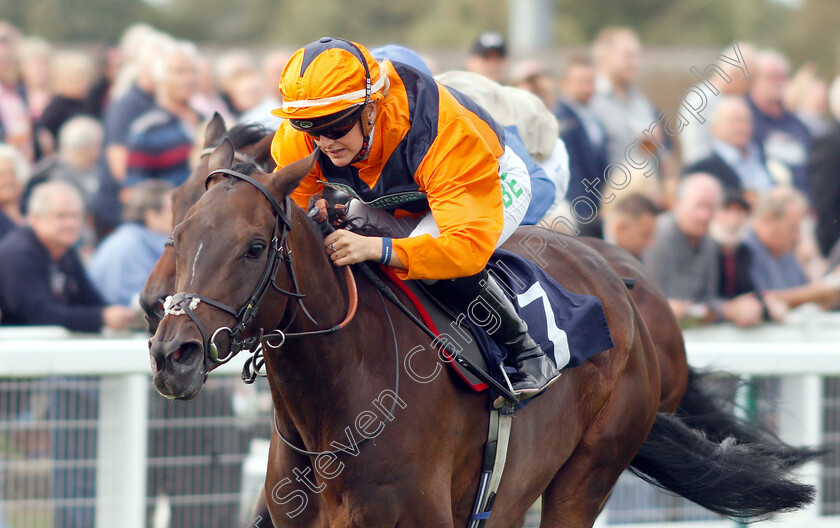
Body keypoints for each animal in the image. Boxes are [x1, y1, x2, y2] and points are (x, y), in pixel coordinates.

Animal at [149, 141, 812, 528]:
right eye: (177, 233)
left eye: (254, 247)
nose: (172, 351)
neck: (339, 408)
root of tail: (621, 285)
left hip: (586, 473)